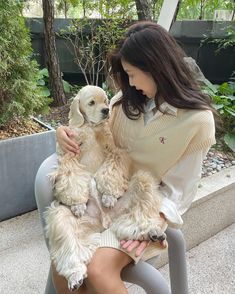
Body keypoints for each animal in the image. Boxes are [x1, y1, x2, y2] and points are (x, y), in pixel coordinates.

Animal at [44, 85, 167, 292]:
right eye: (91, 102)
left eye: (106, 101)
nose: (106, 111)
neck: (91, 128)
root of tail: (104, 223)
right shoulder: (69, 154)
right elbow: (72, 177)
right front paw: (78, 204)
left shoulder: (115, 151)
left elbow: (110, 170)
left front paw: (108, 195)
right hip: (60, 217)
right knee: (71, 249)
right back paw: (75, 276)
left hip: (142, 182)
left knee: (134, 220)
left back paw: (152, 231)